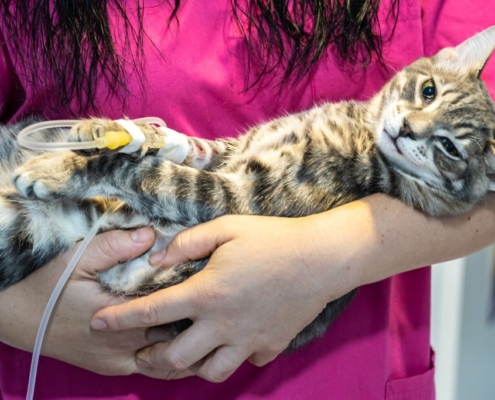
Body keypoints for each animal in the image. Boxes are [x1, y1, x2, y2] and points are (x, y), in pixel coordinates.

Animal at [0, 26, 495, 350]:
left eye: (450, 148)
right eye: (428, 90)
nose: (407, 129)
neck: (357, 131)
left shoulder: (236, 196)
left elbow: (147, 174)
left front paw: (57, 169)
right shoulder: (234, 149)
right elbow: (192, 145)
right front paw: (109, 129)